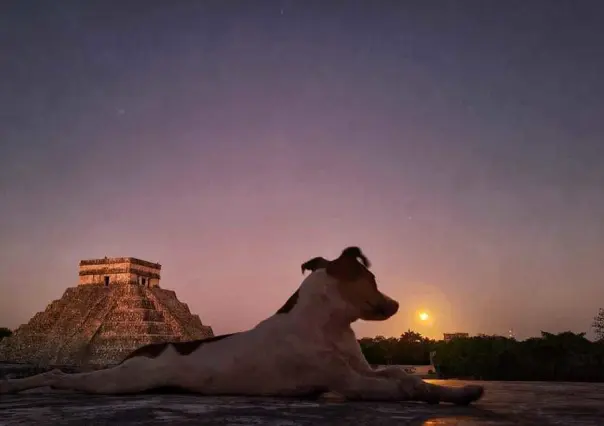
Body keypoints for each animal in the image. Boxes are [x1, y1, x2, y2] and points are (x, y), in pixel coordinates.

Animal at [0, 245, 482, 404]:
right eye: (372, 279)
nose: (397, 303)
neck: (330, 325)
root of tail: (144, 348)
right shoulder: (346, 382)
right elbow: (403, 387)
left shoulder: (362, 370)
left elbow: (405, 374)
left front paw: (461, 391)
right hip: (119, 382)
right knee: (60, 375)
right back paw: (18, 385)